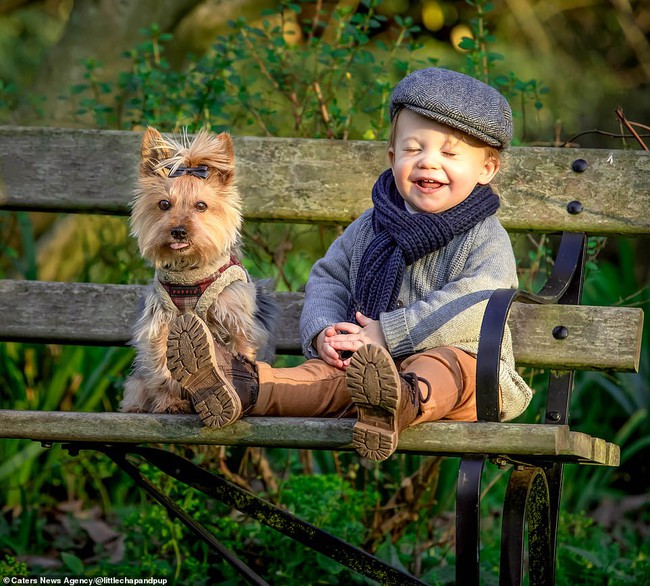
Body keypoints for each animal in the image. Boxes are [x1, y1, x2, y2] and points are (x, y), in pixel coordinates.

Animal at [119, 125, 274, 412]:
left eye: (201, 205)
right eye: (164, 204)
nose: (179, 231)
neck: (189, 273)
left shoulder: (236, 318)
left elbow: (242, 346)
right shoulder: (160, 324)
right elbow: (162, 367)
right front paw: (170, 402)